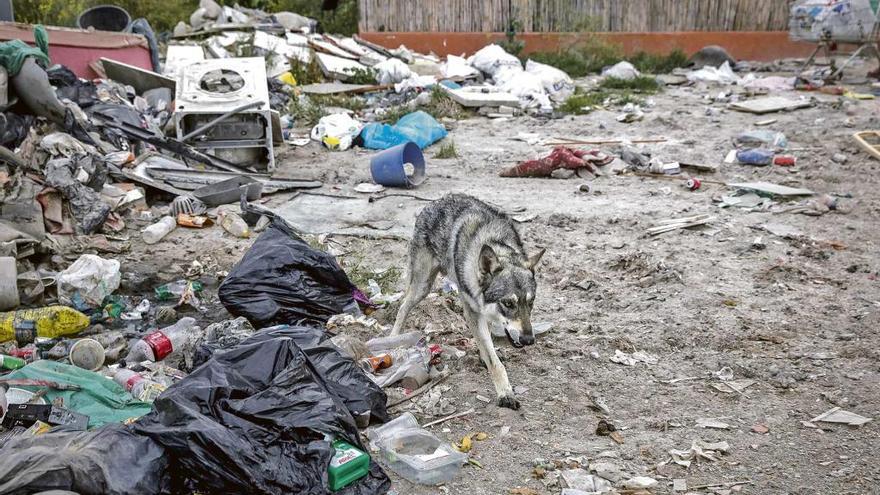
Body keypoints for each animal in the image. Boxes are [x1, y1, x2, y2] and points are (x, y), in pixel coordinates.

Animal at [392, 195, 544, 410]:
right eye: (508, 303)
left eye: (530, 302)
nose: (529, 340)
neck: (495, 243)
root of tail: (436, 201)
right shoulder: (470, 309)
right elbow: (495, 362)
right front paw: (505, 393)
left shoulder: (481, 310)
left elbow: (487, 341)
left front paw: (485, 356)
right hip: (422, 287)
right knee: (403, 307)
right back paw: (392, 339)